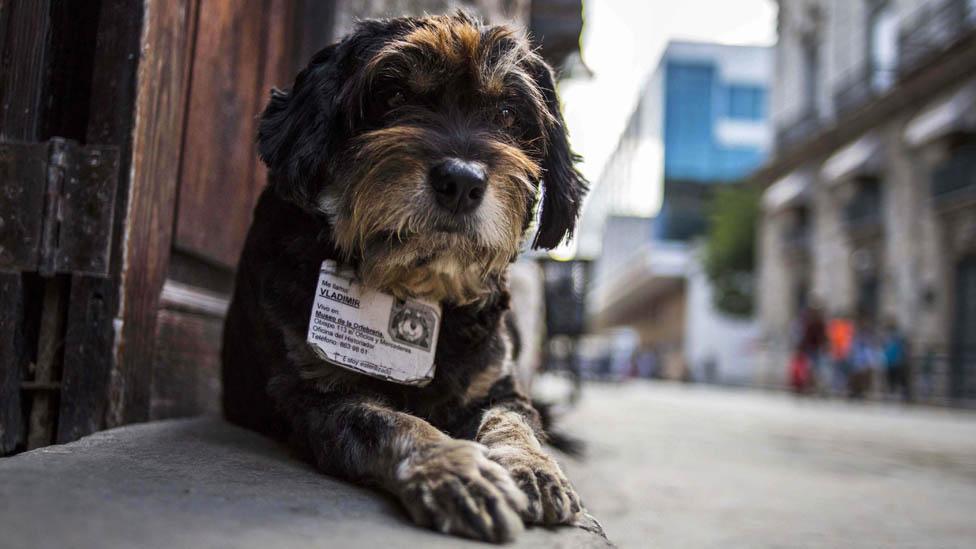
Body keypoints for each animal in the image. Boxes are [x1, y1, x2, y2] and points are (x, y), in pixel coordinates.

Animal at [221, 10, 588, 540]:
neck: (419, 284)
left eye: (507, 115)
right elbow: (395, 423)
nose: (461, 182)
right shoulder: (316, 394)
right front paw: (457, 469)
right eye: (394, 95)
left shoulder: (498, 386)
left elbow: (513, 421)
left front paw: (533, 465)